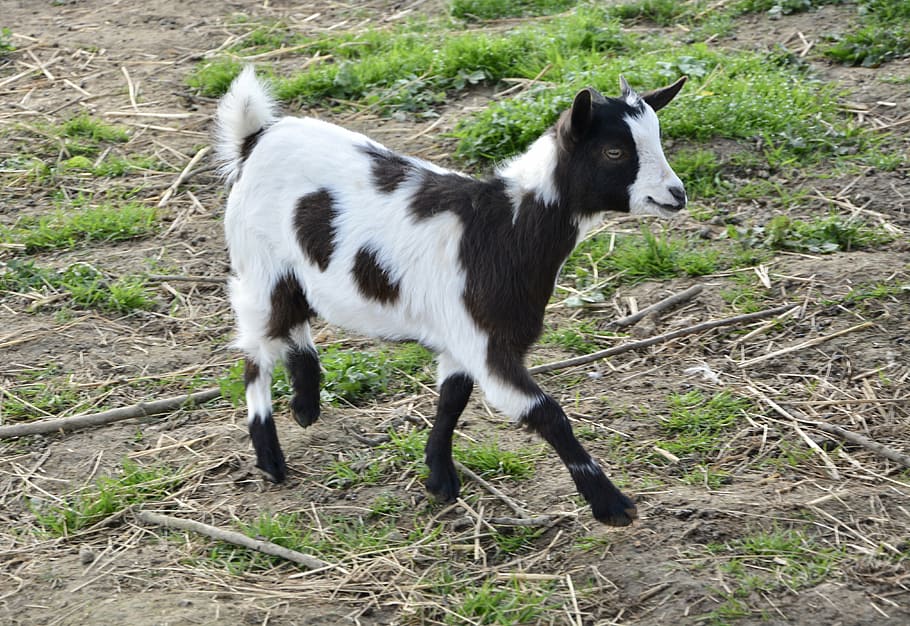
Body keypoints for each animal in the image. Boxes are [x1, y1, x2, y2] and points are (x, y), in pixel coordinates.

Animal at [216, 67, 687, 526]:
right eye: (614, 152)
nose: (677, 194)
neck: (505, 227)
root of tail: (256, 137)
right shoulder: (485, 342)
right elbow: (548, 414)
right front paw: (612, 505)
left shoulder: (461, 338)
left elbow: (452, 401)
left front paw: (439, 479)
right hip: (257, 266)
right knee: (256, 353)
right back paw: (271, 459)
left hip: (291, 273)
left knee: (291, 322)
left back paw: (306, 405)